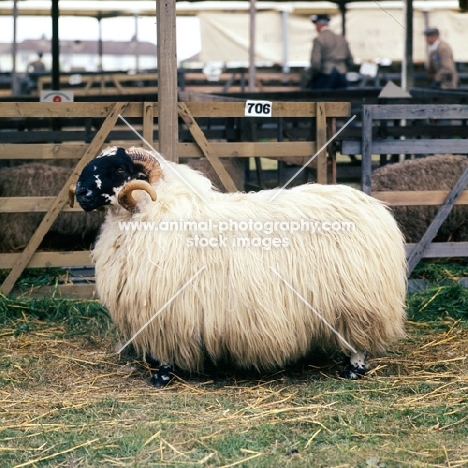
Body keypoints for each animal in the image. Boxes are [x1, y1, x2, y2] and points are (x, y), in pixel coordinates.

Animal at [69, 146, 406, 388]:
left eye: (120, 167)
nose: (80, 193)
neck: (150, 210)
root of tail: (374, 207)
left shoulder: (169, 305)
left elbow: (166, 348)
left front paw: (161, 376)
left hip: (359, 297)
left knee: (359, 337)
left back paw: (353, 370)